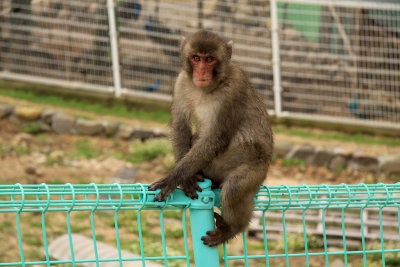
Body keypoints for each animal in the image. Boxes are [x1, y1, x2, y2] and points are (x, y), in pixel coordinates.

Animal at [148, 30, 274, 248]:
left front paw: (173, 178)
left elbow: (215, 138)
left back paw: (232, 228)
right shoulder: (181, 82)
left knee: (234, 188)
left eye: (210, 59)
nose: (201, 73)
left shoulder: (233, 90)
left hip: (257, 168)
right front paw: (186, 178)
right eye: (196, 58)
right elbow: (180, 126)